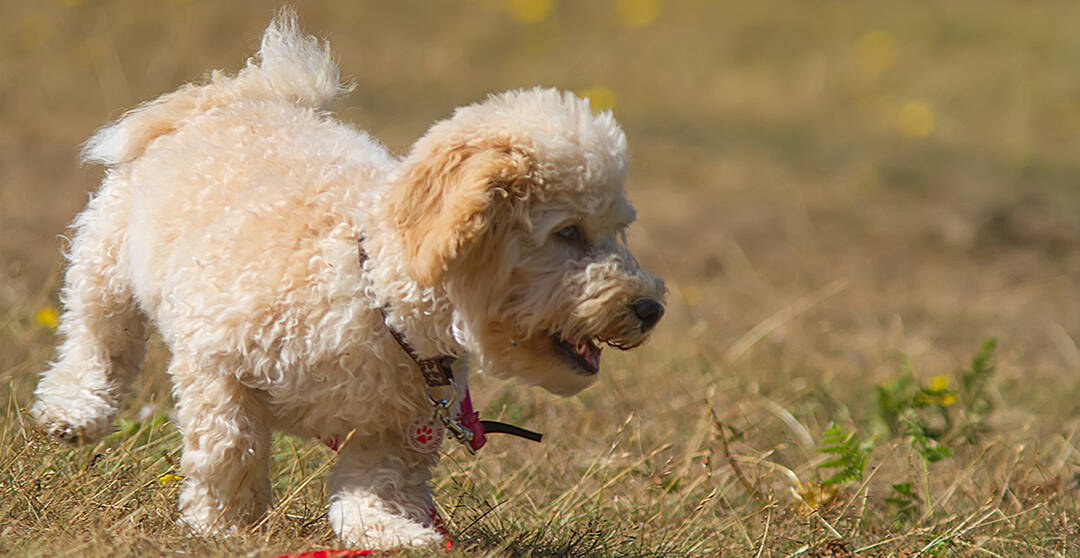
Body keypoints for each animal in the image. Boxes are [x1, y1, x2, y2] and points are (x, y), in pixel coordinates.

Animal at [29, 13, 660, 548]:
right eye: (569, 232)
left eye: (619, 229)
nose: (649, 309)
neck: (373, 297)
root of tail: (242, 96)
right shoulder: (216, 361)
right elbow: (230, 446)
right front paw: (225, 526)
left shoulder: (400, 428)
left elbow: (376, 485)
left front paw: (392, 534)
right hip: (105, 261)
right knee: (99, 340)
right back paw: (73, 410)